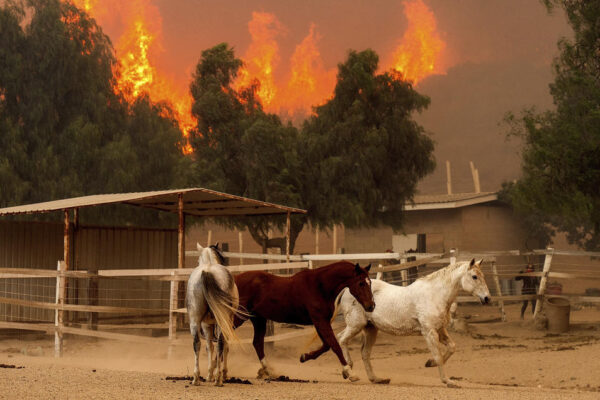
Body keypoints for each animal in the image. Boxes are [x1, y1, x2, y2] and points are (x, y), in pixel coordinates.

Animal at [186, 242, 240, 386]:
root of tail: (207, 271)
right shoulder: (223, 323)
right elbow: (222, 346)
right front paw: (220, 373)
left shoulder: (206, 324)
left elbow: (209, 346)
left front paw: (210, 374)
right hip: (221, 321)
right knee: (220, 344)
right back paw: (218, 378)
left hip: (194, 321)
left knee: (197, 344)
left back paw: (196, 378)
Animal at [232, 262, 372, 382]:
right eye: (361, 283)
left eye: (369, 282)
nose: (371, 306)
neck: (320, 286)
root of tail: (235, 279)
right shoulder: (320, 320)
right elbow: (334, 345)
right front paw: (350, 373)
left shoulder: (321, 321)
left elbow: (326, 345)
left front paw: (304, 357)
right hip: (240, 316)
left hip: (258, 319)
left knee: (257, 343)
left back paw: (268, 371)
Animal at [336, 260, 490, 388]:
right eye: (474, 276)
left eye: (482, 275)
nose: (487, 298)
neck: (435, 295)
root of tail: (347, 289)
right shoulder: (429, 332)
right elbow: (438, 356)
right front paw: (448, 381)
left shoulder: (440, 330)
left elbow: (452, 347)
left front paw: (430, 363)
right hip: (356, 325)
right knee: (341, 339)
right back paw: (350, 373)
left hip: (370, 329)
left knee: (364, 352)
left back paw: (376, 379)